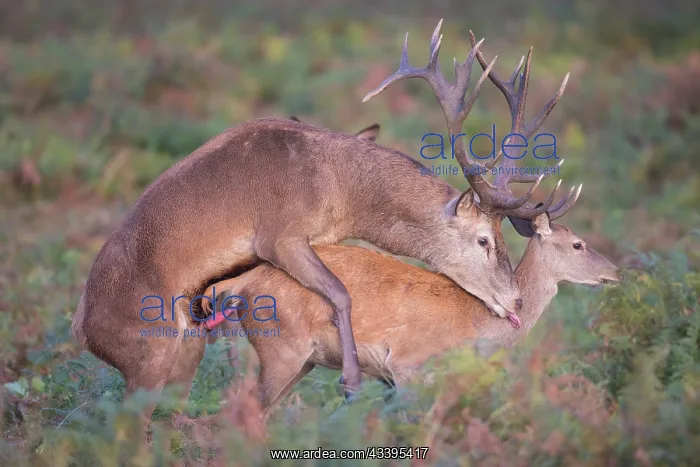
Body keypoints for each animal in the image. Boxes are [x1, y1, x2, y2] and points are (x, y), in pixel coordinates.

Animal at [71, 20, 572, 434]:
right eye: (484, 239)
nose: (516, 300)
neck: (341, 191)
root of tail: (83, 332)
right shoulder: (279, 235)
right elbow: (340, 292)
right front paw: (352, 381)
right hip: (148, 352)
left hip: (186, 350)